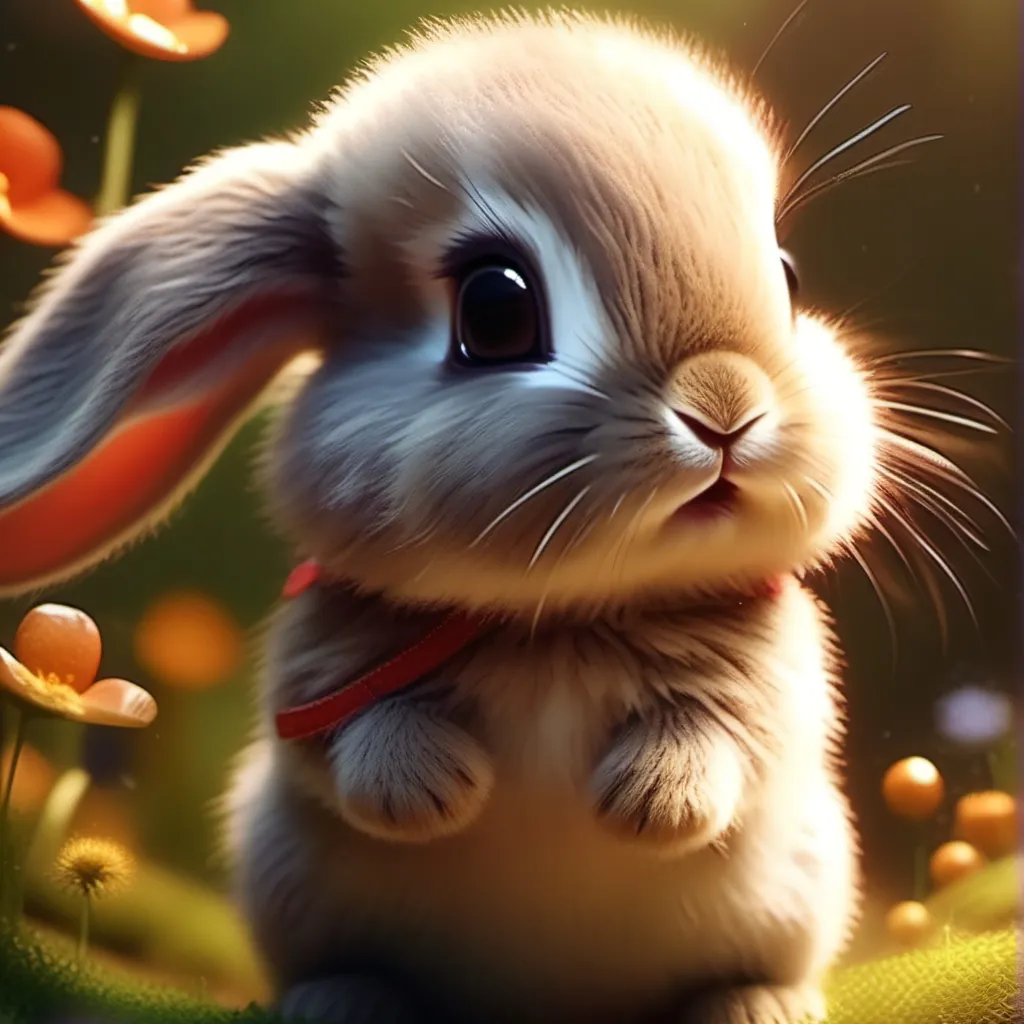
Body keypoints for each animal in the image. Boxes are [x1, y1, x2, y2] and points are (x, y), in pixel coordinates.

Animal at [0, 9, 902, 1024]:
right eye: (495, 307)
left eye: (787, 278)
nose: (727, 407)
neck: (558, 627)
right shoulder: (313, 670)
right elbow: (349, 747)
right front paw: (439, 791)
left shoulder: (776, 677)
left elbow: (741, 733)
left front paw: (645, 801)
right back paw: (344, 1000)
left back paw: (755, 1004)